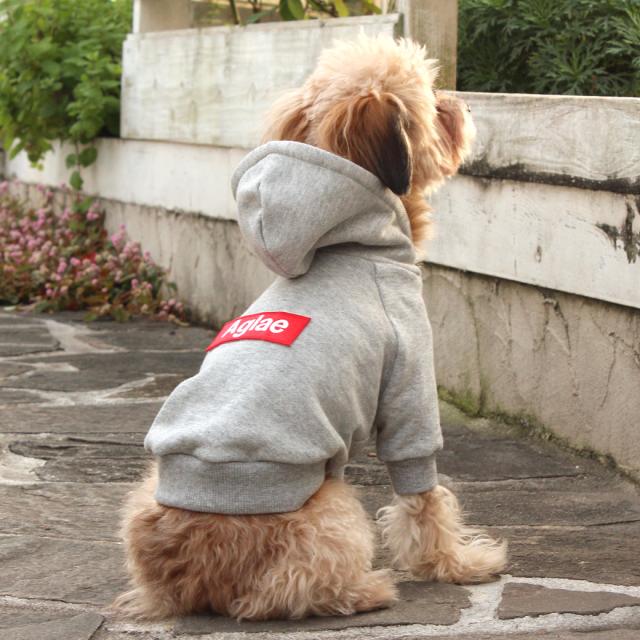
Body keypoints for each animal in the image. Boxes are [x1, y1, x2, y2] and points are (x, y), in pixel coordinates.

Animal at [114, 35, 507, 622]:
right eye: (430, 100)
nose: (461, 104)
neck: (343, 241)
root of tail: (189, 574)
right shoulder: (410, 385)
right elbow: (424, 496)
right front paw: (455, 564)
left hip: (146, 491)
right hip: (330, 502)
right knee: (281, 591)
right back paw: (365, 590)